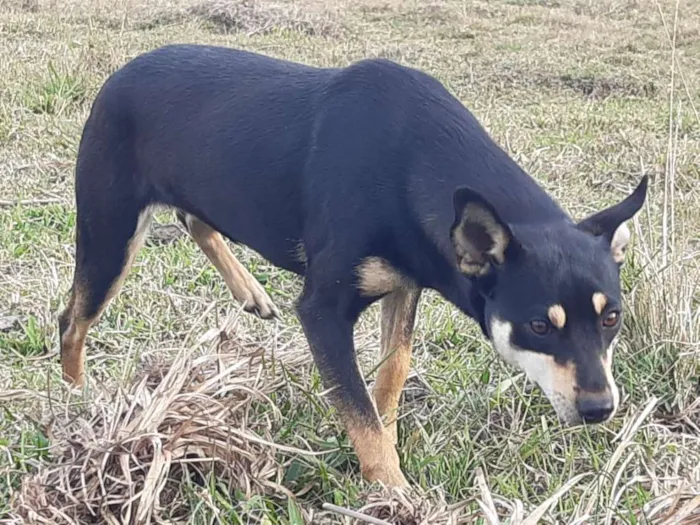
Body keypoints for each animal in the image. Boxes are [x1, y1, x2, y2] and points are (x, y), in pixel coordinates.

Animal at [57, 45, 648, 488]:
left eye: (612, 318)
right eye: (539, 326)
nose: (600, 409)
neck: (412, 161)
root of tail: (122, 72)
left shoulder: (405, 284)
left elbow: (390, 374)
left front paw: (387, 442)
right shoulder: (322, 310)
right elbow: (358, 408)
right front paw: (394, 490)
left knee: (193, 218)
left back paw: (250, 291)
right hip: (110, 233)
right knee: (72, 321)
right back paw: (77, 403)